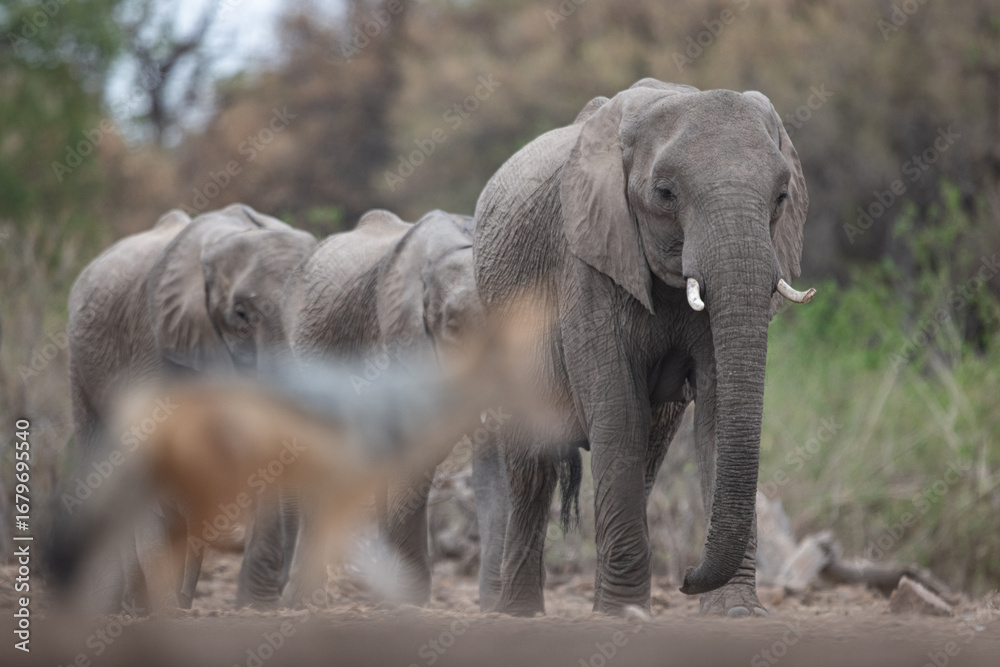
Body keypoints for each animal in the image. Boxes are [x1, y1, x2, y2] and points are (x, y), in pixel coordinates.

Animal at [65, 203, 316, 610]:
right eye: (241, 315)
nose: (281, 599)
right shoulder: (153, 342)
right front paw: (165, 610)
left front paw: (254, 608)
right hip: (80, 364)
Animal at [471, 79, 815, 617]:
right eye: (665, 194)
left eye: (782, 196)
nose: (687, 579)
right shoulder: (588, 262)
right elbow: (619, 415)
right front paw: (623, 615)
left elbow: (716, 418)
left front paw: (737, 613)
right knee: (532, 467)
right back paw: (518, 613)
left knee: (649, 452)